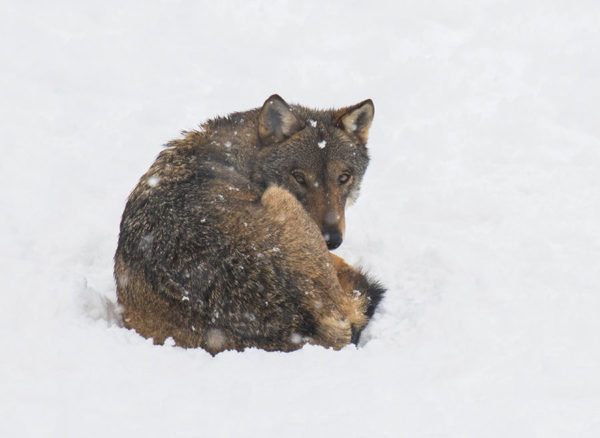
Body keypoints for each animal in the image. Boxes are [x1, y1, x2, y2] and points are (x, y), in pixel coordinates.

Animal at [115, 94, 382, 354]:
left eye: (344, 178)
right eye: (298, 177)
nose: (332, 240)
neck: (245, 155)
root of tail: (302, 323)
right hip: (280, 197)